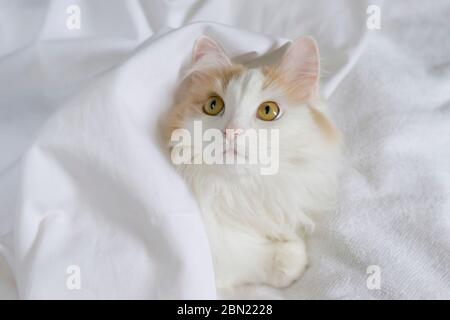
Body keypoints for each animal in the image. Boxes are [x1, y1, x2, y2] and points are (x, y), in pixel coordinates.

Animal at [164, 36, 342, 288]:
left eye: (268, 110)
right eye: (213, 105)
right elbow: (238, 255)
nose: (231, 132)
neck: (241, 195)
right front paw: (291, 256)